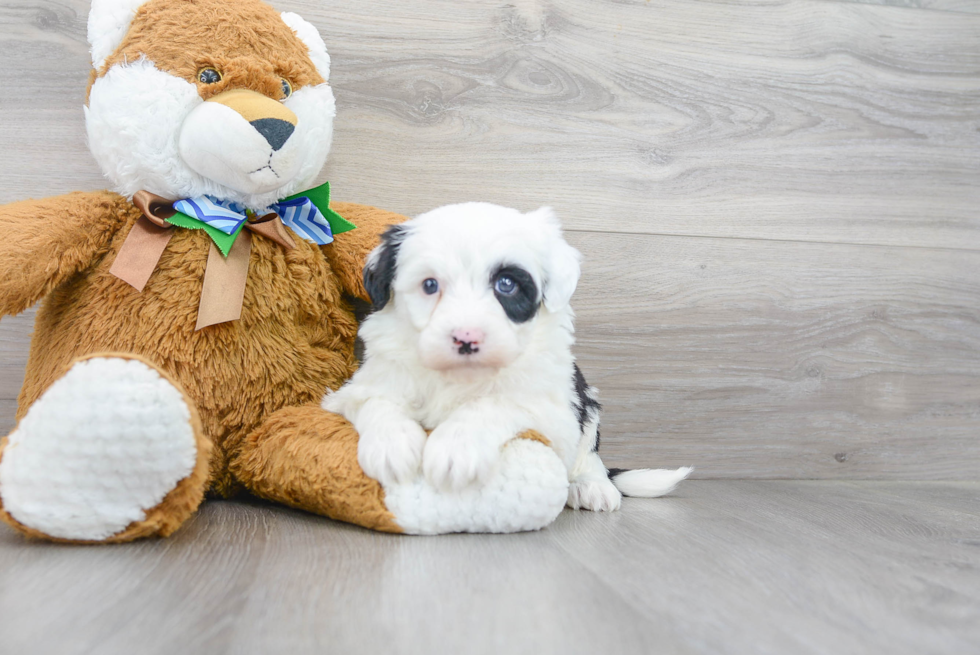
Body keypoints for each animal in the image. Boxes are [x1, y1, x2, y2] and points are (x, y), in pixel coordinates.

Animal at [324, 202, 688, 510]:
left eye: (507, 284)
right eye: (429, 285)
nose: (466, 338)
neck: (460, 376)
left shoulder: (551, 407)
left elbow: (494, 403)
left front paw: (456, 448)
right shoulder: (362, 386)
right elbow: (378, 402)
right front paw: (391, 446)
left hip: (586, 399)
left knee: (590, 454)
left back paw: (591, 486)